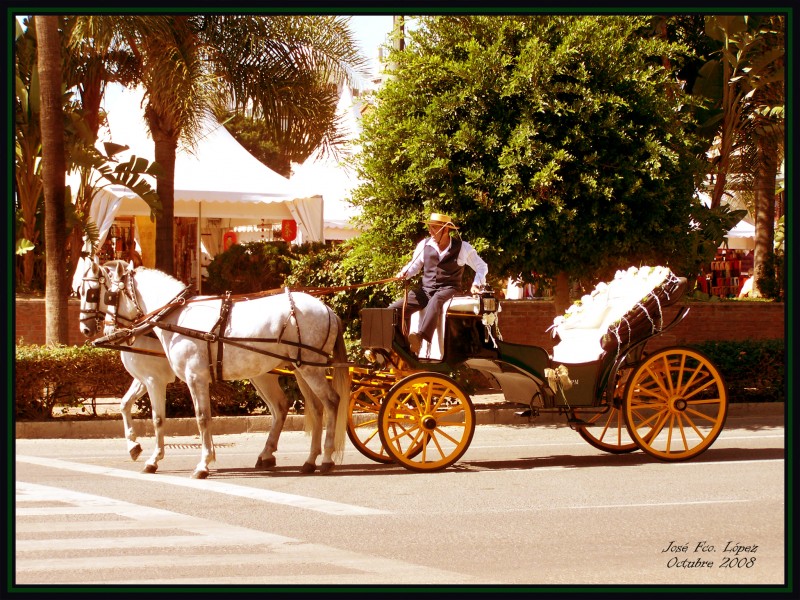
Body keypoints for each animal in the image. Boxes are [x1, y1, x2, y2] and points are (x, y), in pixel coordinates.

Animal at [73, 258, 348, 478]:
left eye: (98, 293)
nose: (89, 329)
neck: (174, 318)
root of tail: (327, 309)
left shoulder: (179, 378)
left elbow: (190, 418)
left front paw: (199, 463)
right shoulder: (149, 378)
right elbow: (125, 404)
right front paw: (136, 448)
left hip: (310, 368)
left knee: (331, 402)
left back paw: (325, 458)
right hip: (296, 369)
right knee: (306, 407)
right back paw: (303, 459)